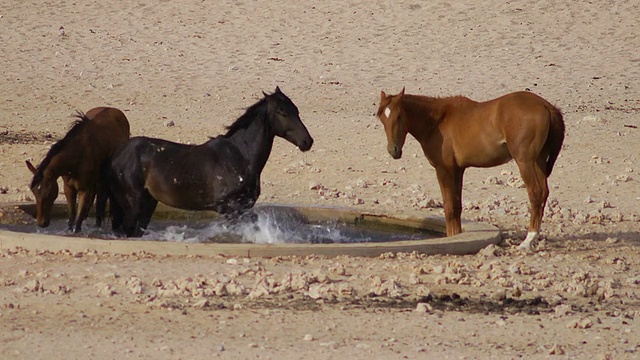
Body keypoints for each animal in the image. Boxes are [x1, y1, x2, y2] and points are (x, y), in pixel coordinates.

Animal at [102, 87, 316, 238]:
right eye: (282, 112)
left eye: (296, 110)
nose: (307, 142)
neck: (239, 155)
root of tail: (118, 154)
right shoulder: (231, 208)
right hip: (133, 204)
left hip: (148, 203)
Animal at [376, 88, 564, 249]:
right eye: (382, 118)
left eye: (399, 116)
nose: (393, 150)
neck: (438, 121)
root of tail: (546, 106)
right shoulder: (458, 170)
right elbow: (457, 206)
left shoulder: (444, 169)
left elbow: (449, 207)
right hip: (538, 161)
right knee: (543, 192)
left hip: (525, 162)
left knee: (535, 193)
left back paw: (528, 240)